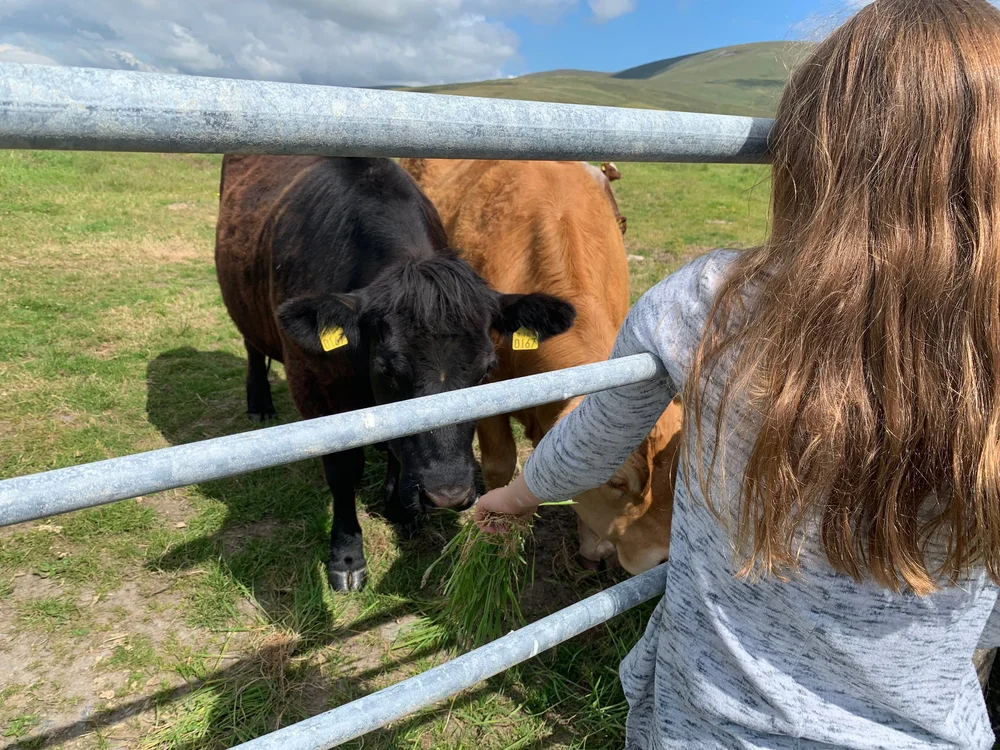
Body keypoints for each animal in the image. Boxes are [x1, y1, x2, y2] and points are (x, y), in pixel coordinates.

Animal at [214, 155, 575, 591]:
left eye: (487, 368)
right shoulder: (316, 390)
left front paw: (400, 508)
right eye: (387, 369)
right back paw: (260, 403)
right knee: (252, 348)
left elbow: (395, 444)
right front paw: (347, 557)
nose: (448, 494)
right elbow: (343, 471)